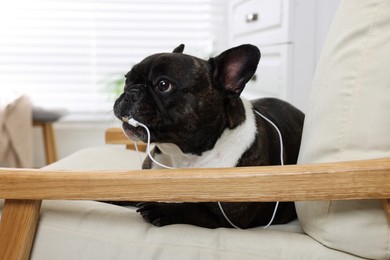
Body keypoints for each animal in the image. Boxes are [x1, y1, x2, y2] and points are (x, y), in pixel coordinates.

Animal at [113, 43, 304, 229]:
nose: (131, 92)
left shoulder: (224, 218)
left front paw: (162, 209)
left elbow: (193, 208)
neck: (183, 156)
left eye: (163, 85)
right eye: (127, 79)